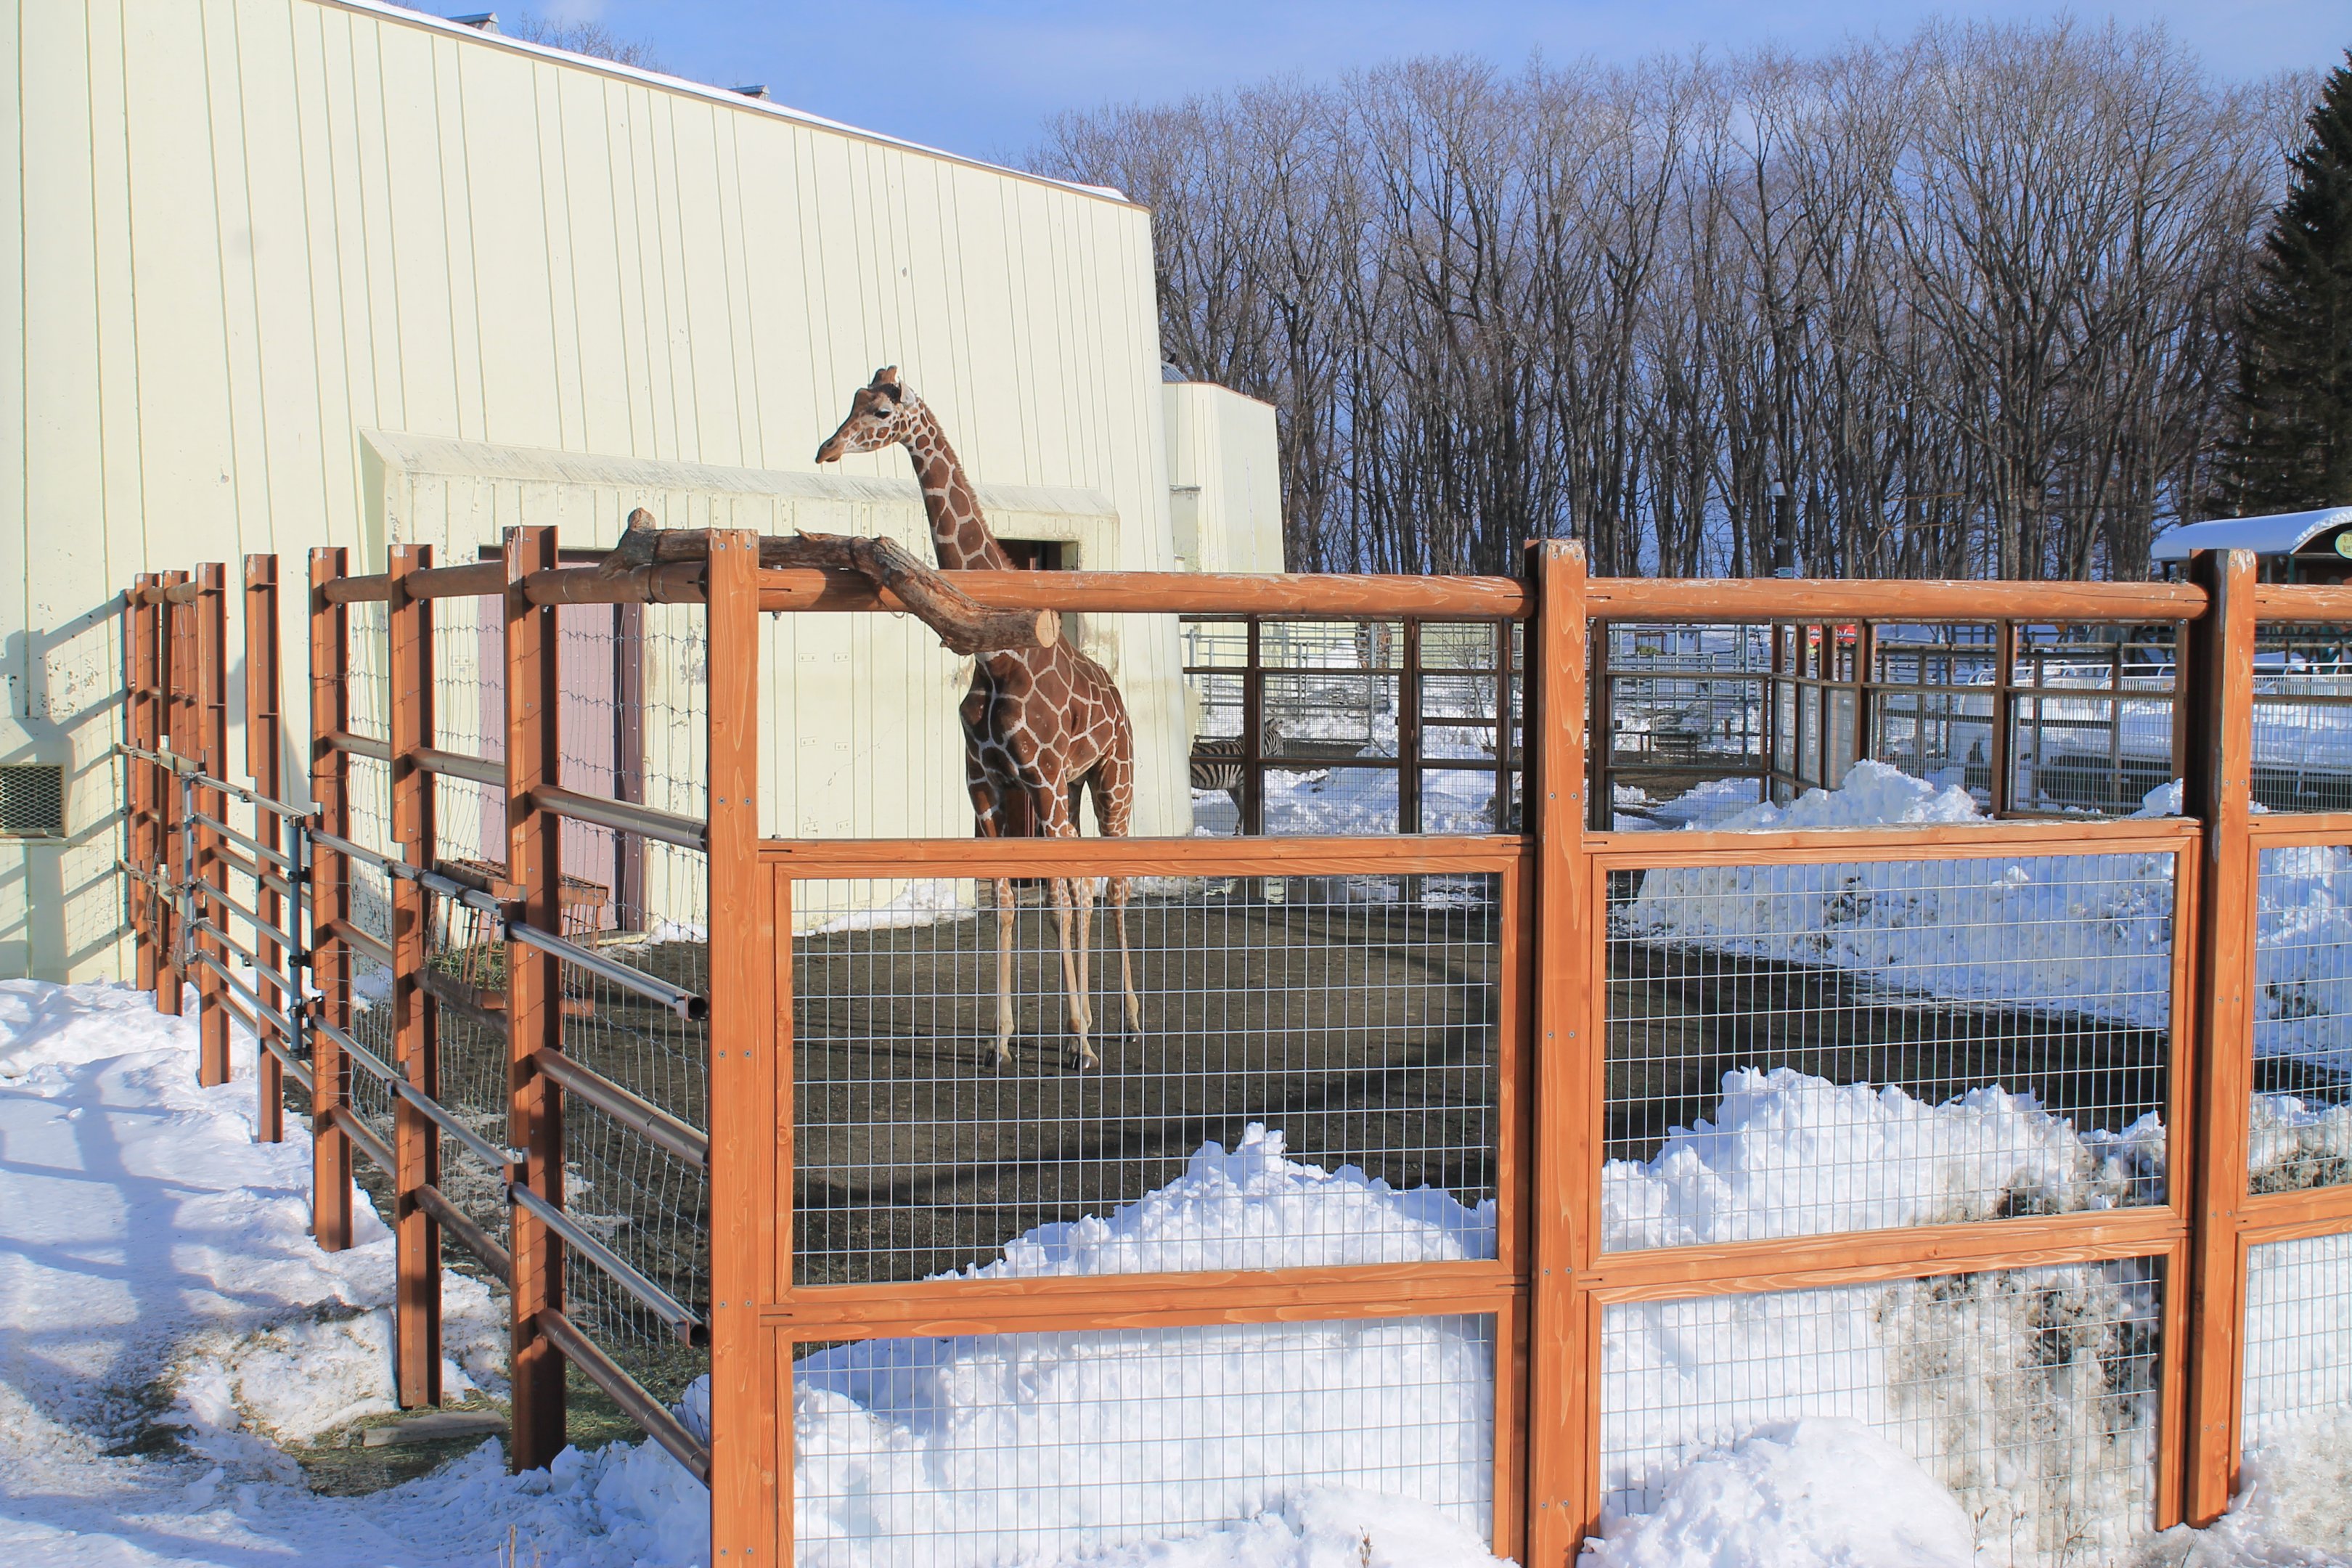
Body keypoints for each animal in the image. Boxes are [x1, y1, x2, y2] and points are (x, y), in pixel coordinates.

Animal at [817, 367, 1143, 1068]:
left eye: (880, 412)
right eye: (853, 401)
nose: (827, 449)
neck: (994, 657)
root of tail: (1118, 701)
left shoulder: (1038, 781)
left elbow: (1055, 902)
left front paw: (1080, 1044)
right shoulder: (986, 785)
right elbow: (1005, 904)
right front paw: (1001, 1040)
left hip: (1112, 781)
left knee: (1112, 886)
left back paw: (1123, 1022)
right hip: (1072, 790)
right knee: (1086, 886)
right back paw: (1088, 1022)